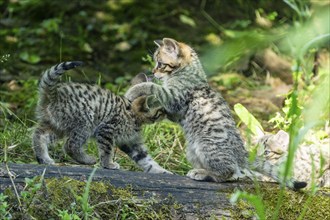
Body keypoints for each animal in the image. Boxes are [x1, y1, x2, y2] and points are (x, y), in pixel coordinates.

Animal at [32, 61, 171, 174]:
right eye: (162, 109)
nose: (168, 113)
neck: (132, 115)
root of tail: (54, 95)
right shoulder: (106, 129)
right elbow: (107, 149)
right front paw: (108, 164)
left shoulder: (131, 142)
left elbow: (146, 160)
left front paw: (163, 172)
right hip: (85, 122)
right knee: (70, 145)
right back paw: (87, 160)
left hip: (58, 125)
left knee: (39, 134)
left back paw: (44, 158)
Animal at [125, 37, 308, 189]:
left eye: (160, 64)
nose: (153, 72)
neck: (188, 72)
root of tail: (241, 153)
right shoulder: (176, 110)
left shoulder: (174, 97)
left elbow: (152, 87)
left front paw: (132, 91)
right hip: (192, 151)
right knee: (234, 174)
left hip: (207, 146)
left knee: (229, 173)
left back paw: (202, 173)